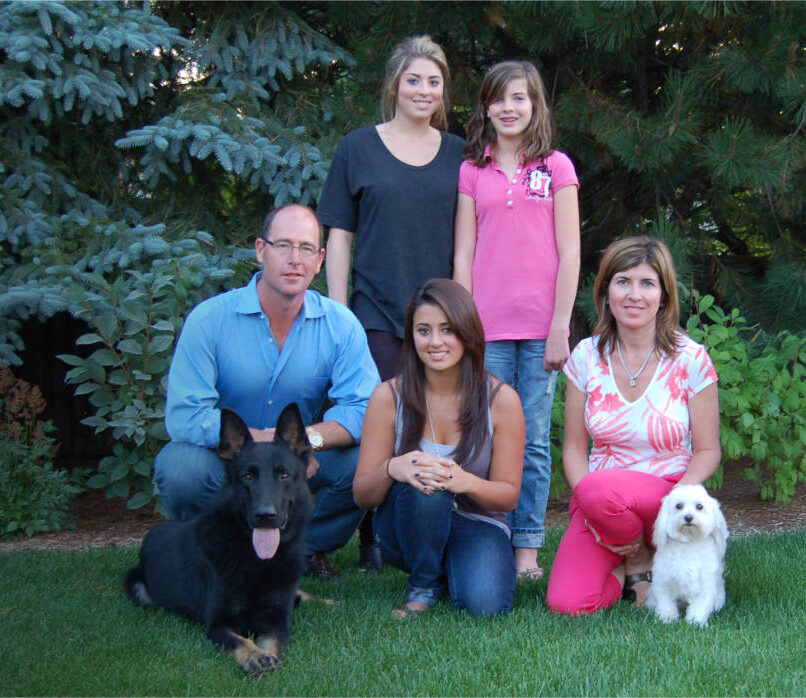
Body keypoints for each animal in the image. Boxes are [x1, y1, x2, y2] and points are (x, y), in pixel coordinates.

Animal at [124, 402, 314, 676]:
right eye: (247, 476)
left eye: (284, 475)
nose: (265, 515)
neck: (258, 562)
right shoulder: (218, 624)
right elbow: (240, 640)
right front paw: (255, 656)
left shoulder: (276, 619)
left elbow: (273, 642)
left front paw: (265, 655)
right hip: (138, 586)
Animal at [648, 484, 728, 624]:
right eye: (679, 505)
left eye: (699, 506)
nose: (688, 517)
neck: (688, 542)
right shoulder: (663, 580)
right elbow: (666, 602)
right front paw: (667, 617)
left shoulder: (705, 583)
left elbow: (700, 604)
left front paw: (695, 620)